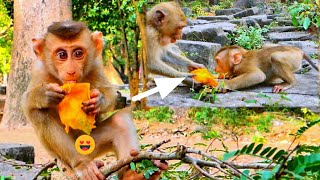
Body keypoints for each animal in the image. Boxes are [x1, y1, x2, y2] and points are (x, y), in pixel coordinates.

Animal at [21, 20, 164, 179]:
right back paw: (81, 164)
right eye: (62, 54)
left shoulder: (95, 65)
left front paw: (98, 101)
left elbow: (111, 94)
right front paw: (45, 94)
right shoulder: (39, 71)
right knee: (40, 113)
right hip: (68, 154)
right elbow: (26, 103)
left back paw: (133, 174)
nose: (71, 71)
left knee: (120, 121)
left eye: (78, 53)